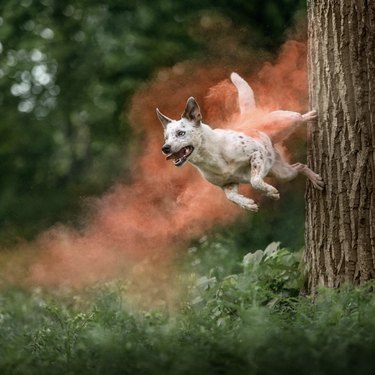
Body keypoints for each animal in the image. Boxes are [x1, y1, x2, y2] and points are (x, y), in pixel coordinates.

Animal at [156, 73, 324, 212]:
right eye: (166, 137)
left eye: (181, 133)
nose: (165, 148)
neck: (212, 156)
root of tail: (248, 118)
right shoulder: (227, 185)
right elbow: (231, 197)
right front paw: (247, 204)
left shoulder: (255, 153)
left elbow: (255, 180)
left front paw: (271, 192)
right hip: (283, 173)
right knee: (299, 166)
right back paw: (315, 179)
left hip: (286, 121)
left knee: (300, 117)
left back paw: (312, 115)